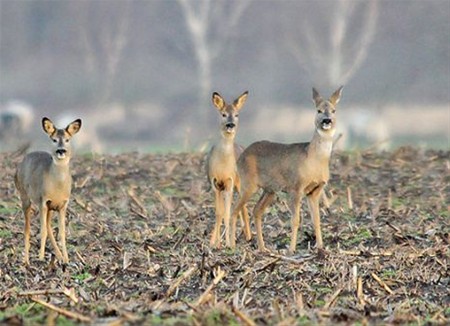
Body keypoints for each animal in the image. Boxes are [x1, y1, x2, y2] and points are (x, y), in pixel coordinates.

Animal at [14, 117, 81, 264]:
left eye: (67, 139)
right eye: (54, 139)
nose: (61, 151)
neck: (57, 186)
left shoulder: (62, 204)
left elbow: (62, 232)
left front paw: (66, 259)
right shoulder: (43, 201)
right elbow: (43, 231)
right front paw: (40, 258)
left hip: (50, 207)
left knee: (49, 226)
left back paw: (59, 256)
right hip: (24, 196)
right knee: (27, 229)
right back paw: (26, 261)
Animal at [206, 90, 251, 248]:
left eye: (236, 114)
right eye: (223, 114)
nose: (230, 125)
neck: (222, 166)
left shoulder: (230, 182)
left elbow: (227, 213)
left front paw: (228, 243)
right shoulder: (215, 183)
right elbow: (219, 213)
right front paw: (215, 243)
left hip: (241, 183)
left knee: (243, 209)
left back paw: (248, 237)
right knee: (240, 209)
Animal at [230, 87, 342, 255]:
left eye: (334, 110)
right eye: (319, 110)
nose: (326, 120)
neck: (313, 159)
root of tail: (240, 156)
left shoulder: (314, 190)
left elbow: (316, 219)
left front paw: (320, 247)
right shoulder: (296, 187)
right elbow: (295, 220)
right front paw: (291, 249)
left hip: (270, 190)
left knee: (256, 211)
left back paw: (263, 248)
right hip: (248, 184)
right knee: (234, 211)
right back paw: (230, 246)